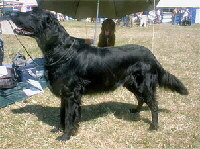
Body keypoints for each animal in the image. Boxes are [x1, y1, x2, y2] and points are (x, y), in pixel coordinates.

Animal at [11, 8, 189, 141]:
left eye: (32, 14)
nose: (11, 14)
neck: (62, 51)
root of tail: (151, 55)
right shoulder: (64, 94)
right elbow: (62, 115)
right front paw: (60, 130)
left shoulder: (70, 94)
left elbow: (68, 117)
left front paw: (66, 135)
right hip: (131, 83)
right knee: (141, 99)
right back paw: (136, 111)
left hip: (143, 84)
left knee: (153, 104)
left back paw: (154, 126)